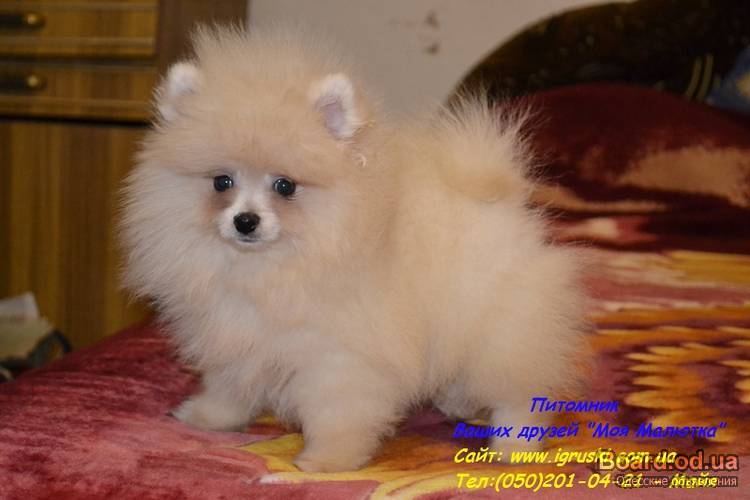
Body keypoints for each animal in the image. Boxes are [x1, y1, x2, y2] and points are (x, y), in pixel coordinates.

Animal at [121, 26, 589, 472]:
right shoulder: (234, 335)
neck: (271, 268)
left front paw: (326, 461)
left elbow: (336, 414)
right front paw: (207, 418)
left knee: (519, 391)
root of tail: (498, 197)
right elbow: (228, 386)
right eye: (222, 182)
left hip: (501, 331)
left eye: (285, 186)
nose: (245, 221)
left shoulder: (339, 359)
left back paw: (513, 444)